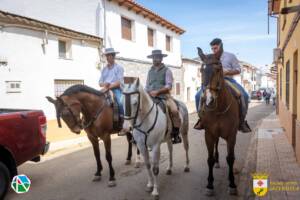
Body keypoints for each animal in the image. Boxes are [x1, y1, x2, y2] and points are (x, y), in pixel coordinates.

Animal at [197, 47, 239, 196]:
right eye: (201, 70)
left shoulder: (232, 135)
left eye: (218, 68)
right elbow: (209, 159)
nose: (208, 100)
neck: (219, 108)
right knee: (216, 144)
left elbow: (231, 158)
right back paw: (216, 161)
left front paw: (232, 184)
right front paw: (210, 185)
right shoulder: (209, 134)